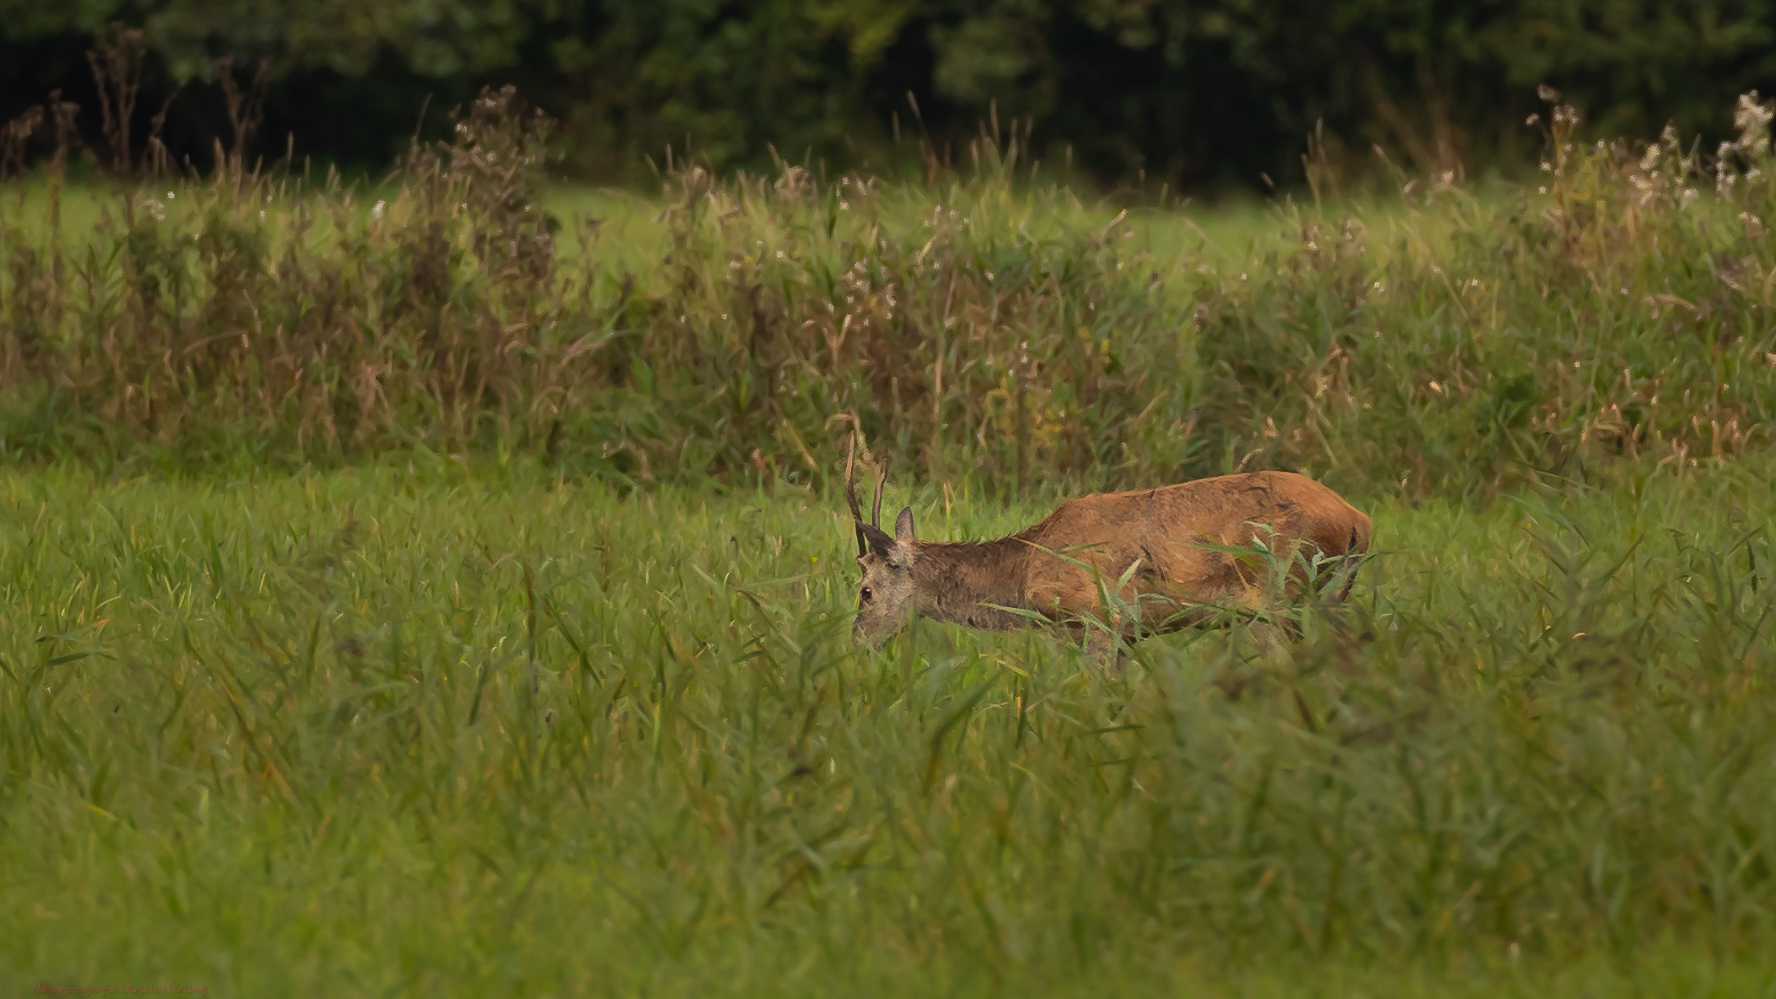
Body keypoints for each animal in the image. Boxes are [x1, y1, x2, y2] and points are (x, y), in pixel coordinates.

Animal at [841, 440, 1371, 657]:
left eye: (864, 590)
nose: (856, 643)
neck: (1026, 568)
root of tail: (1358, 520)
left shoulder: (1099, 617)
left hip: (1278, 594)